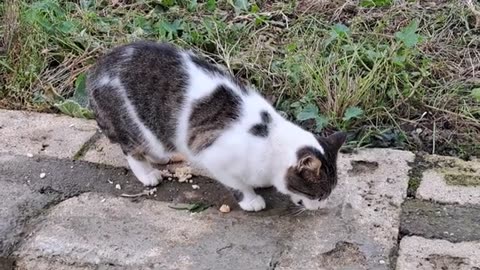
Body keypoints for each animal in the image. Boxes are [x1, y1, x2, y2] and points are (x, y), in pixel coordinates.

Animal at [86, 41, 346, 212]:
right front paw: (251, 199)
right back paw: (148, 173)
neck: (269, 139)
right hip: (132, 123)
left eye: (328, 193)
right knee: (131, 149)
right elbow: (237, 183)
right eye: (319, 193)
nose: (322, 206)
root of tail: (98, 68)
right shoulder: (214, 156)